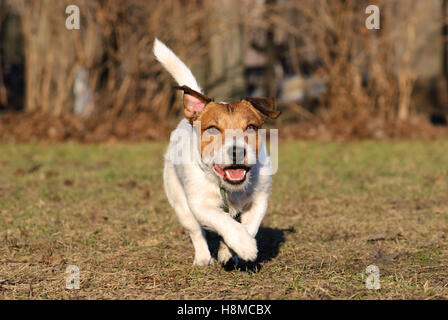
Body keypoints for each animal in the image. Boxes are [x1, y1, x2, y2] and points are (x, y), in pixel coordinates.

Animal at [154, 39, 280, 264]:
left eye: (251, 127)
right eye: (212, 129)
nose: (237, 151)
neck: (230, 189)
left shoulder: (259, 200)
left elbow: (250, 226)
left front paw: (230, 250)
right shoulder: (200, 204)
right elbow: (223, 220)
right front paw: (244, 245)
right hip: (180, 202)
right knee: (196, 231)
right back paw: (203, 258)